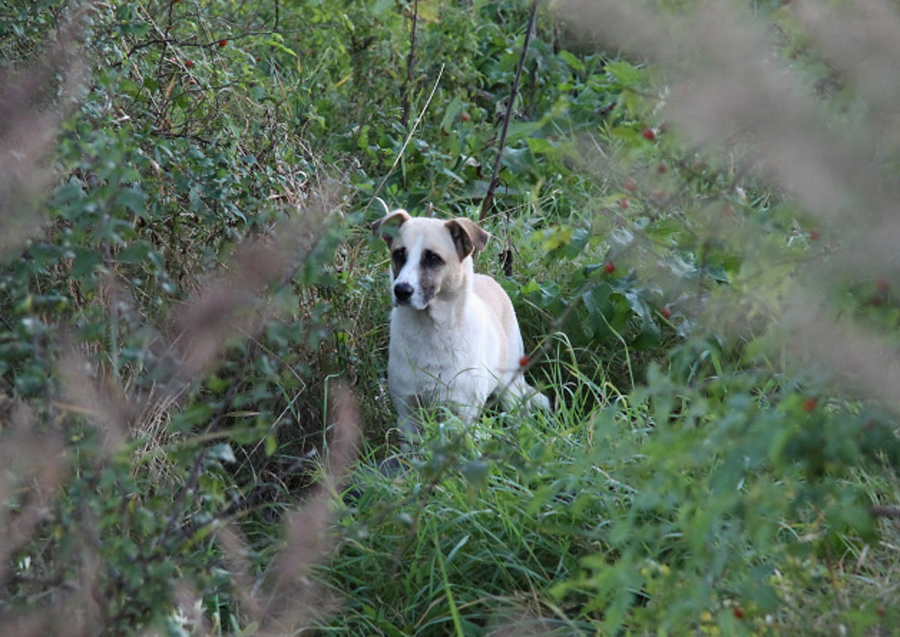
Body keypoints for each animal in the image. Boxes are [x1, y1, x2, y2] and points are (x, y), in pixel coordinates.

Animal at [372, 211, 548, 434]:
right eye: (399, 254)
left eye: (433, 258)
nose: (401, 290)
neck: (431, 331)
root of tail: (489, 280)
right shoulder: (407, 413)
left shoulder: (462, 414)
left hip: (511, 388)